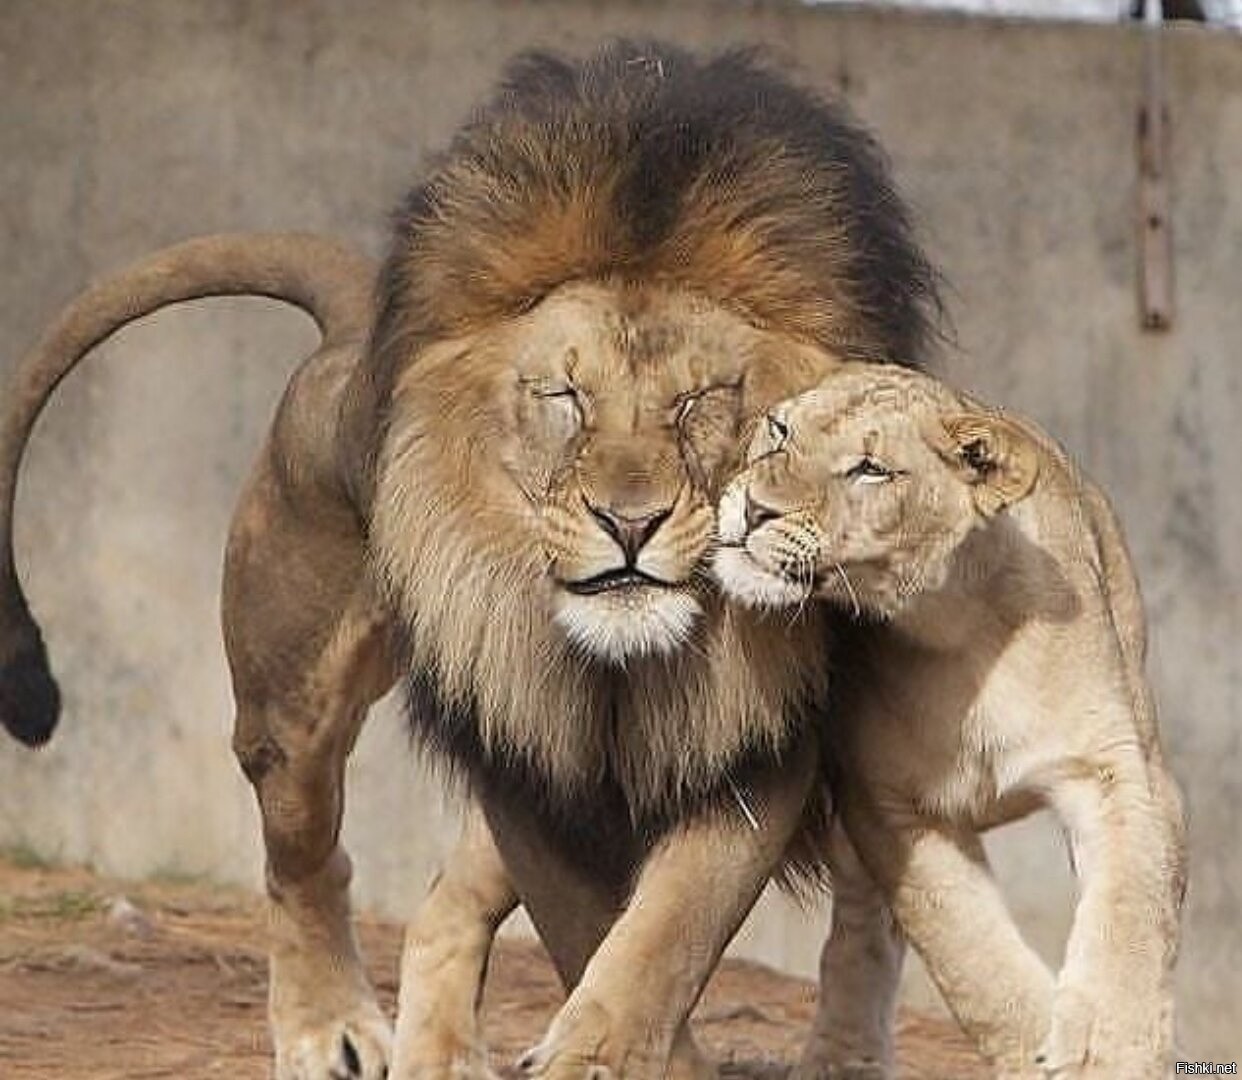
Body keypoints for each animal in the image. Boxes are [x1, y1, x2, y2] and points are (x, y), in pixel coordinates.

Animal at [0, 43, 940, 1080]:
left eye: (698, 402)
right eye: (565, 396)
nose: (631, 522)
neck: (619, 663)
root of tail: (348, 343)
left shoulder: (761, 740)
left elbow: (664, 934)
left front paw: (602, 1047)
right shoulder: (520, 754)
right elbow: (591, 935)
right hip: (295, 703)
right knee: (305, 857)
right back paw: (332, 1028)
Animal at [713, 363, 1187, 1079]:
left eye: (870, 469)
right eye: (779, 429)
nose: (752, 509)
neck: (956, 627)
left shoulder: (1122, 772)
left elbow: (1132, 907)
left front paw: (1108, 1046)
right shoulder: (890, 808)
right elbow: (972, 957)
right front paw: (1036, 1048)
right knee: (860, 932)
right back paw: (843, 1057)